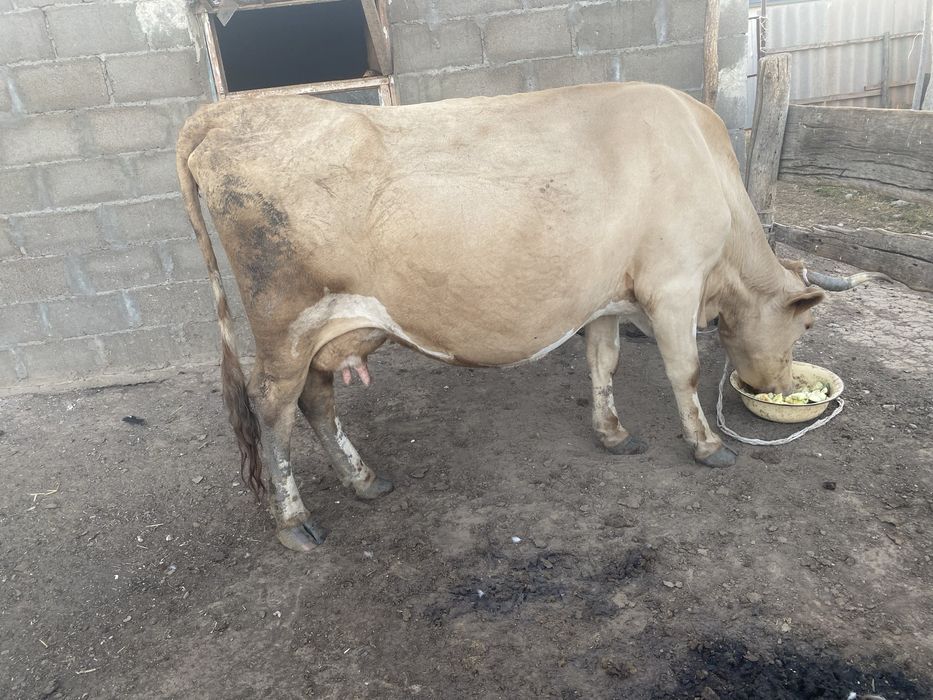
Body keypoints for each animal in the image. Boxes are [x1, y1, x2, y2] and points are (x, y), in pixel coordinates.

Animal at [176, 82, 882, 552]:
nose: (778, 385)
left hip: (331, 330)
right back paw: (294, 523)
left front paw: (612, 433)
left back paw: (365, 480)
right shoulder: (674, 283)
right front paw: (708, 446)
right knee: (272, 407)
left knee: (317, 399)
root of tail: (227, 111)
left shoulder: (606, 297)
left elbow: (604, 363)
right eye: (807, 327)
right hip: (285, 320)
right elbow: (682, 369)